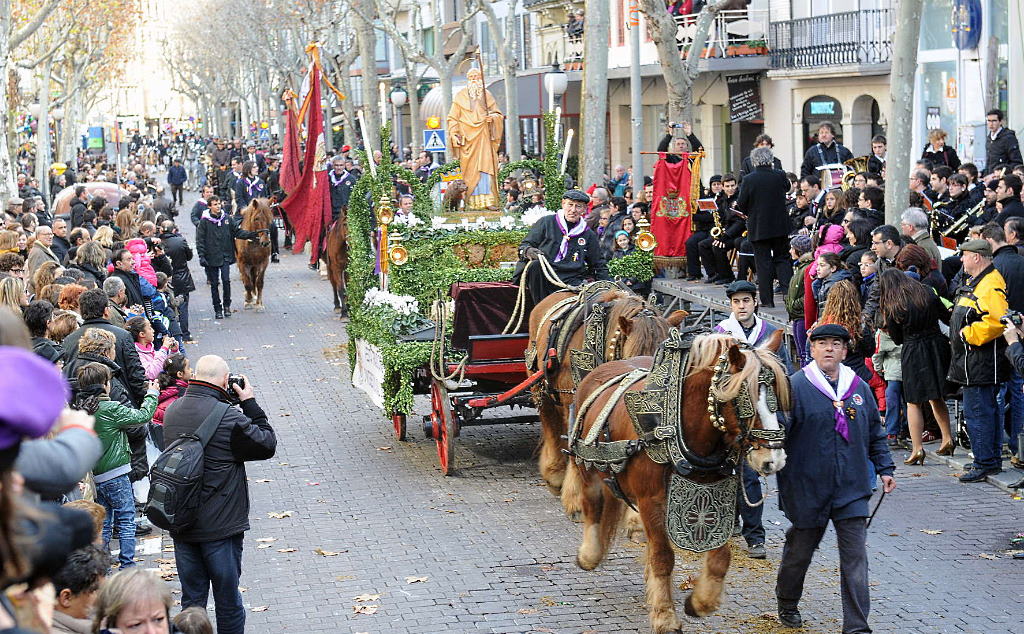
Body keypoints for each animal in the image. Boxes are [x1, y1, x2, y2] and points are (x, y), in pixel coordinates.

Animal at [528, 286, 688, 516]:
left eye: (666, 357)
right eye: (636, 353)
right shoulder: (576, 403)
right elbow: (574, 444)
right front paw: (576, 499)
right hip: (541, 390)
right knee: (550, 425)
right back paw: (555, 475)